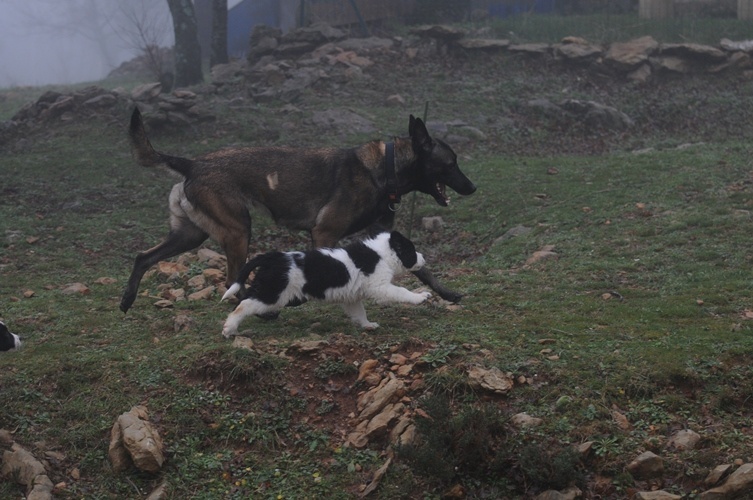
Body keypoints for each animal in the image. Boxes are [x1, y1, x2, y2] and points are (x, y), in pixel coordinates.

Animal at [121, 109, 476, 312]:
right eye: (451, 163)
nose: (472, 187)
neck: (384, 168)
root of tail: (192, 163)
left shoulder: (387, 238)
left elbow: (422, 269)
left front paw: (448, 294)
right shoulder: (324, 232)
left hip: (191, 235)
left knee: (143, 257)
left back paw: (127, 301)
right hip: (238, 230)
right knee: (231, 280)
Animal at [219, 230, 428, 336]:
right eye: (411, 251)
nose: (424, 258)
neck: (382, 254)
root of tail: (273, 257)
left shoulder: (352, 298)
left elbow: (359, 312)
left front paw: (367, 325)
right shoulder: (380, 286)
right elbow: (402, 291)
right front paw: (420, 297)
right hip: (273, 293)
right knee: (244, 305)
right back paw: (229, 328)